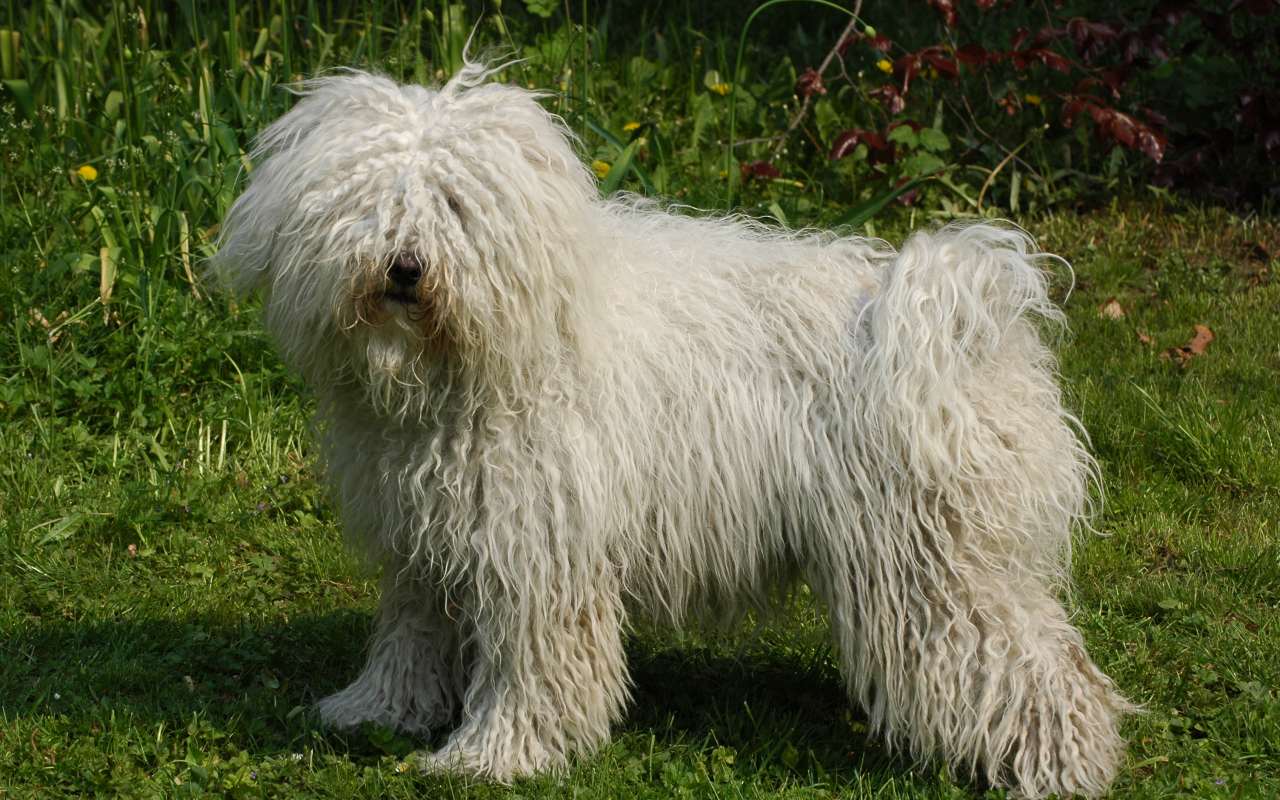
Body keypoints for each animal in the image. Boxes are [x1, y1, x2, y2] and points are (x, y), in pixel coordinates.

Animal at [217, 64, 1131, 798]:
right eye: (367, 204)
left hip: (933, 561)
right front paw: (375, 710)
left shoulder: (539, 548)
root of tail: (960, 313)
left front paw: (497, 754)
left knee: (1034, 667)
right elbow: (411, 633)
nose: (405, 268)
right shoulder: (425, 536)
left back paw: (1064, 766)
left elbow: (532, 666)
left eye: (454, 205)